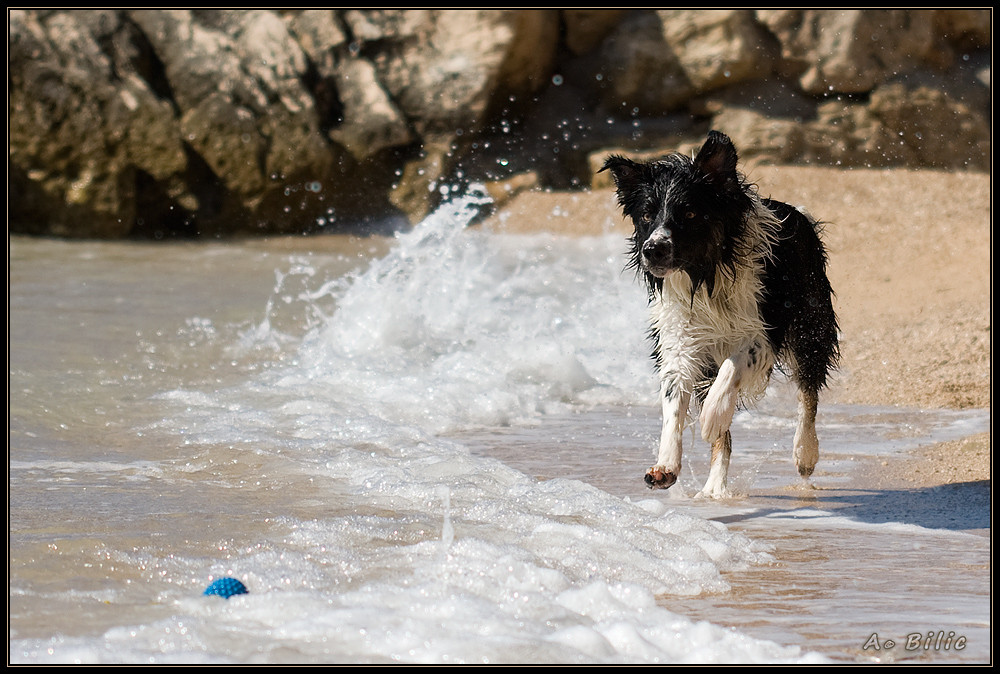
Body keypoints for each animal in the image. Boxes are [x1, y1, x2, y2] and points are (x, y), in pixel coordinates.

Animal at [596, 131, 840, 496]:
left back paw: (805, 453)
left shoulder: (764, 332)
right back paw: (714, 487)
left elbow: (733, 366)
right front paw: (665, 465)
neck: (706, 276)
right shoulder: (680, 339)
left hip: (809, 325)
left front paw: (712, 415)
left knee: (807, 393)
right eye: (646, 215)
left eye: (689, 214)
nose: (652, 250)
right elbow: (673, 402)